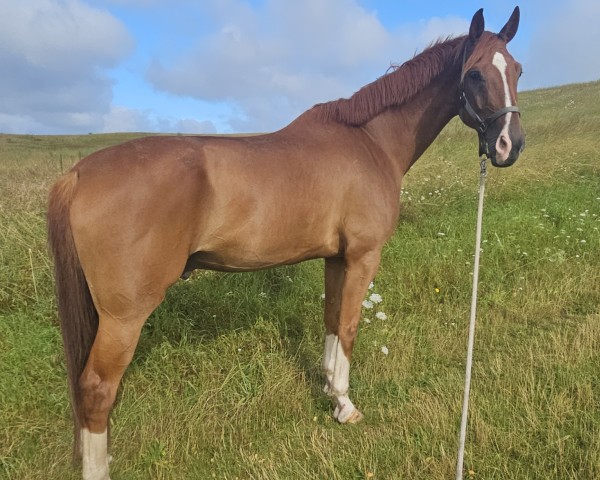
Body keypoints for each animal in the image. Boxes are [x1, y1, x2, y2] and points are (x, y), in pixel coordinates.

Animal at [48, 8, 524, 480]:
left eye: (517, 69)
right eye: (476, 74)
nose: (509, 145)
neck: (370, 141)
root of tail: (79, 174)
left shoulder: (336, 259)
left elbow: (332, 322)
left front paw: (331, 391)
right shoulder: (363, 256)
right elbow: (349, 327)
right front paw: (346, 406)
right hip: (124, 316)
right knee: (96, 388)